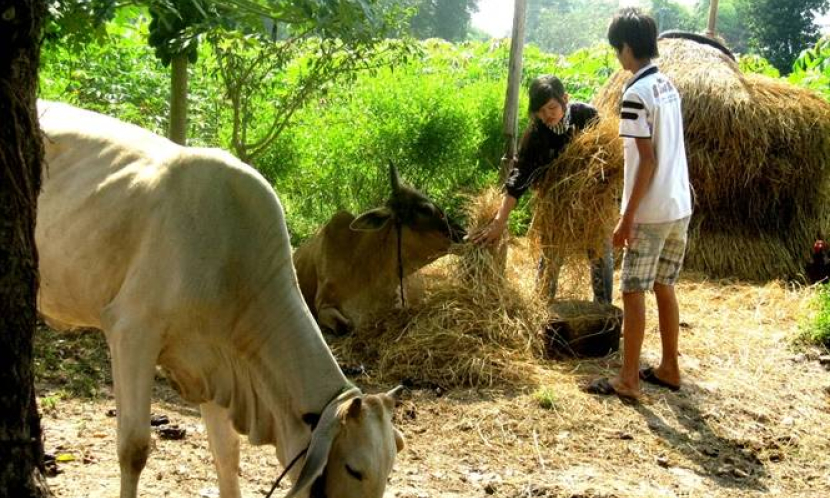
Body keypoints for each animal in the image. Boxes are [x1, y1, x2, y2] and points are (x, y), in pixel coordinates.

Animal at [35, 102, 406, 498]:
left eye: (389, 471)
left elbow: (226, 453)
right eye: (353, 469)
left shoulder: (214, 362)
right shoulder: (131, 332)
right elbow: (134, 449)